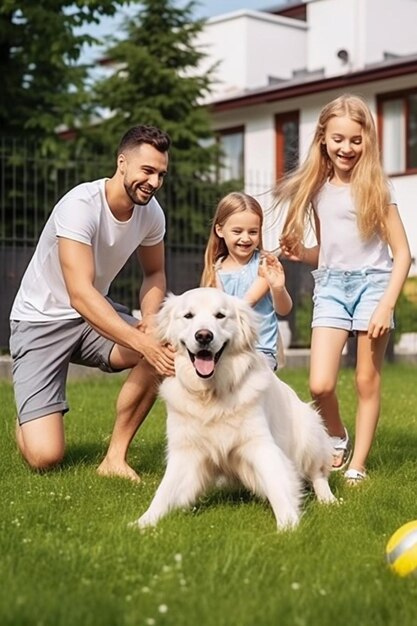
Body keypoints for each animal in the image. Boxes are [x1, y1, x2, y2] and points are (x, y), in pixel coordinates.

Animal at [135, 286, 336, 528]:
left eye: (220, 315)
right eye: (188, 316)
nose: (204, 336)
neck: (210, 394)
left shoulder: (261, 444)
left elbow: (277, 485)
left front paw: (288, 524)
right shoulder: (185, 451)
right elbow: (163, 493)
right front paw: (142, 523)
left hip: (308, 434)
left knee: (318, 473)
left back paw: (329, 500)